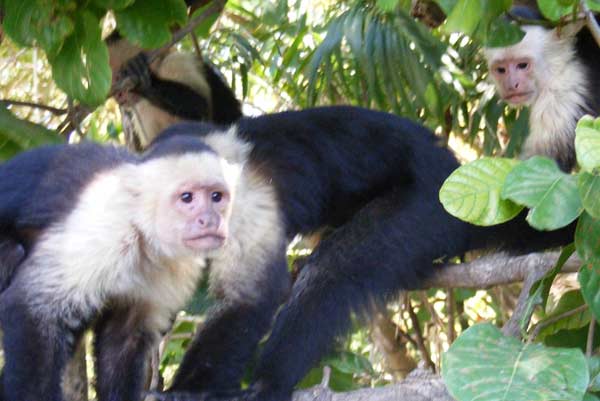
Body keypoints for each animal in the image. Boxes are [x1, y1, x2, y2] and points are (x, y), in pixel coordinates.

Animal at [0, 134, 288, 400]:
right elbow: (35, 309)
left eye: (217, 197)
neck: (143, 232)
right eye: (187, 198)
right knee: (14, 255)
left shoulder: (174, 264)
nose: (209, 220)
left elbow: (125, 336)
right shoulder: (105, 227)